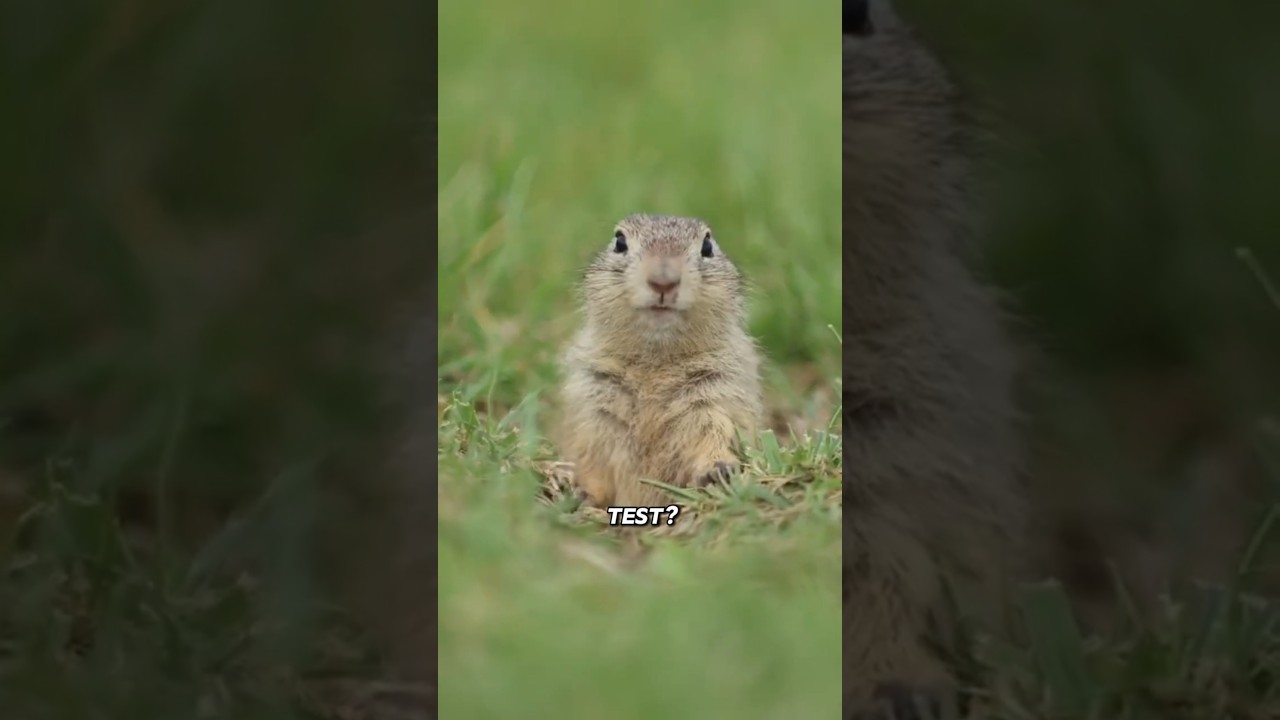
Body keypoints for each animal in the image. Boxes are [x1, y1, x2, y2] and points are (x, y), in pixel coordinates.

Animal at [558, 213, 765, 509]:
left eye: (707, 246)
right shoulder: (594, 401)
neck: (656, 360)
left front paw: (718, 470)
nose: (663, 280)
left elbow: (716, 430)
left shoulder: (719, 389)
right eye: (619, 242)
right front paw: (582, 492)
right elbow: (593, 455)